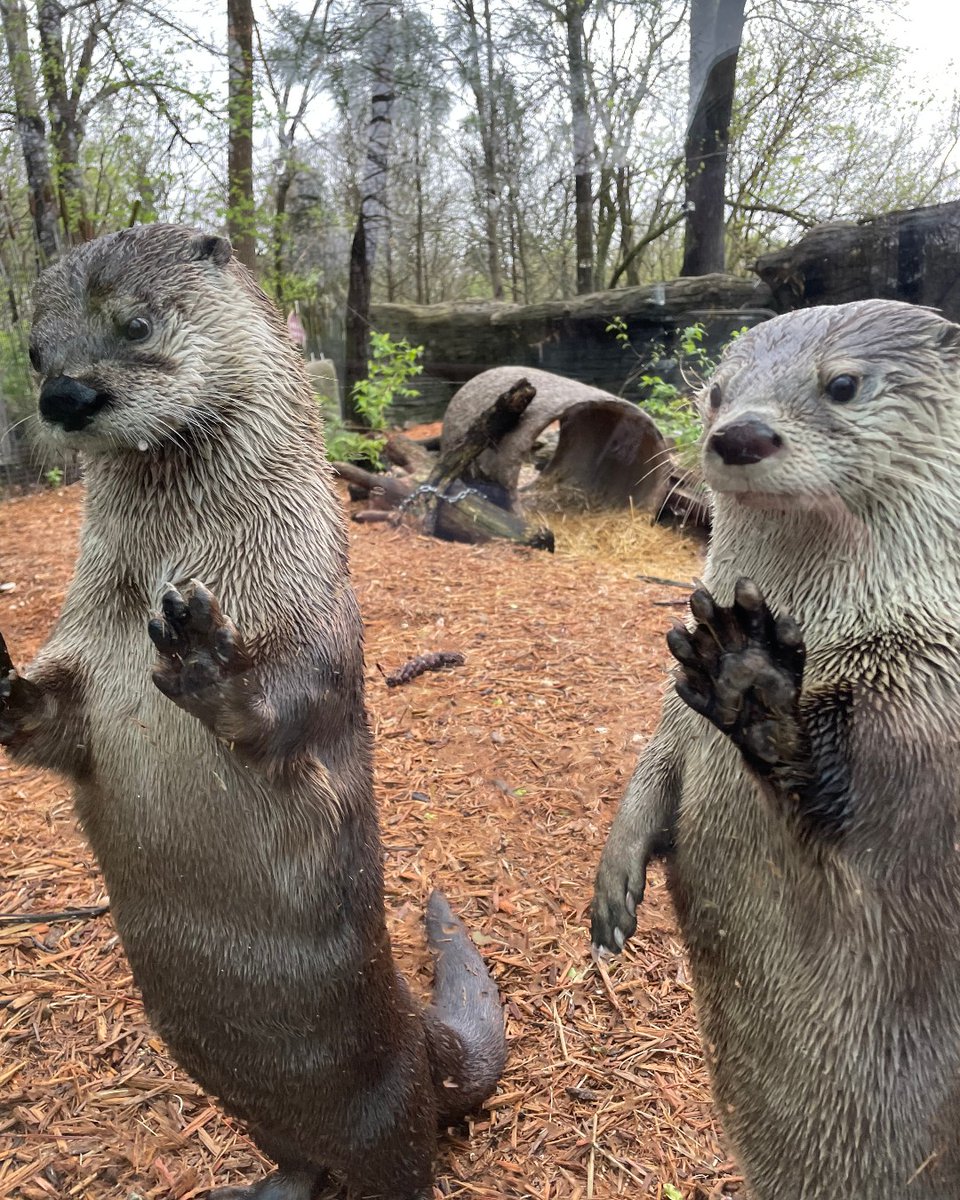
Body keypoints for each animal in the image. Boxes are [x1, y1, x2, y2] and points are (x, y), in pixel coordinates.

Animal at [1, 225, 508, 1200]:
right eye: (36, 350)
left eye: (136, 323)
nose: (65, 394)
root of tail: (422, 1031)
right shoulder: (81, 650)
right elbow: (52, 724)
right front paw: (0, 686)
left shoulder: (316, 612)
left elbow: (291, 709)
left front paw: (206, 660)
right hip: (246, 1097)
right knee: (300, 1157)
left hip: (392, 1101)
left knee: (399, 1160)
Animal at [592, 297, 960, 1190]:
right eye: (717, 393)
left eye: (843, 383)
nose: (741, 434)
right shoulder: (673, 713)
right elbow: (651, 772)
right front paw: (614, 885)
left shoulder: (927, 705)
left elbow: (868, 802)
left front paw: (756, 679)